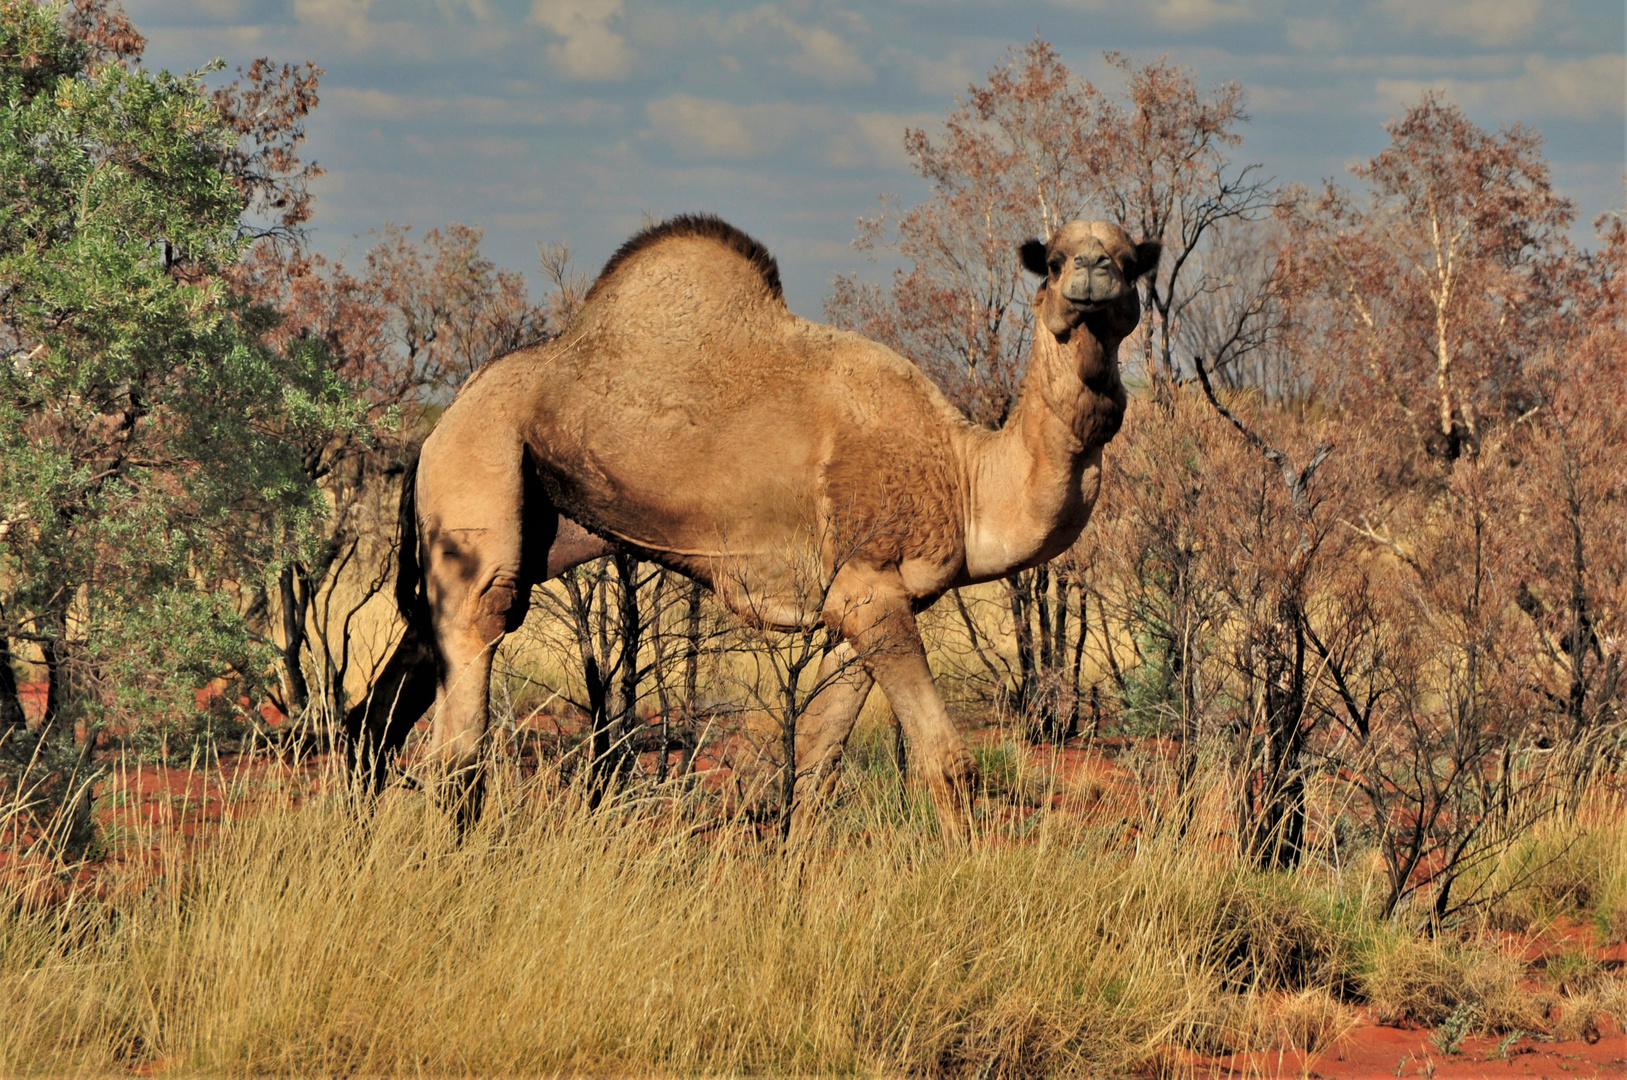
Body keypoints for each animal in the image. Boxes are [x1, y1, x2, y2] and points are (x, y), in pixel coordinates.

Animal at [343, 208, 1158, 832]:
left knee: (390, 695)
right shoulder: (871, 588)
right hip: (483, 472)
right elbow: (943, 761)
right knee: (467, 684)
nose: (1092, 274)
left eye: (1129, 262)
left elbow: (812, 763)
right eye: (1052, 261)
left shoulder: (864, 605)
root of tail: (439, 425)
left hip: (526, 520)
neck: (963, 475)